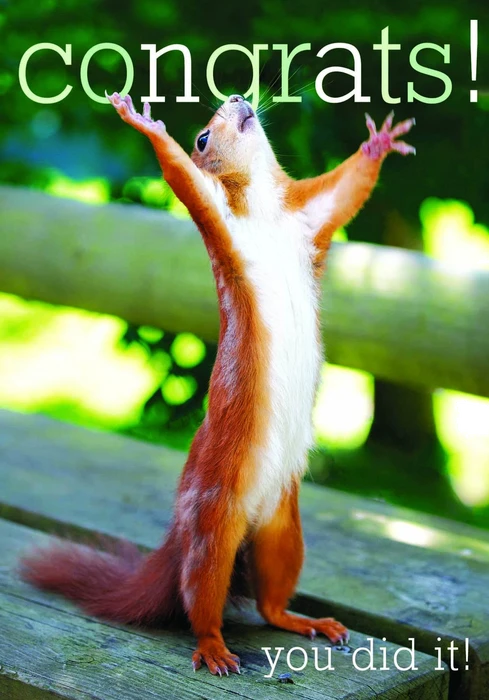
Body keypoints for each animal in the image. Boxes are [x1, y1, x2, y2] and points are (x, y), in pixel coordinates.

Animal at [21, 93, 415, 676]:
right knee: (200, 597)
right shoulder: (218, 216)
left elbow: (346, 191)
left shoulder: (309, 217)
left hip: (283, 529)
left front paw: (379, 143)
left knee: (270, 601)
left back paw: (306, 621)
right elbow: (183, 177)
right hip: (213, 524)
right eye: (202, 137)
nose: (237, 99)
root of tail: (181, 537)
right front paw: (145, 123)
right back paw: (213, 647)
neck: (266, 210)